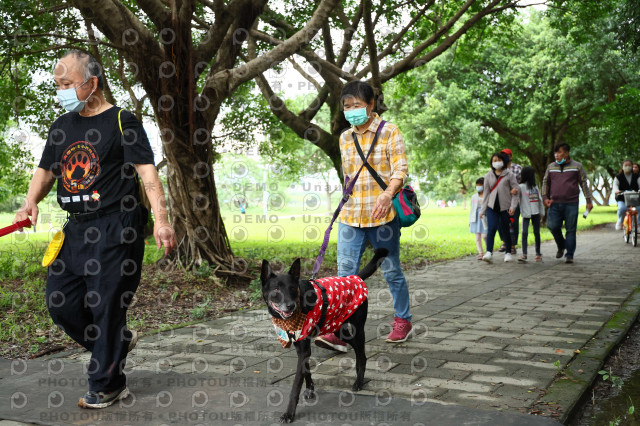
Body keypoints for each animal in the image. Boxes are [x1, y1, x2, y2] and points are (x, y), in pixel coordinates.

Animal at [262, 248, 390, 424]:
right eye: (276, 290)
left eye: (293, 288)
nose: (290, 306)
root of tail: (355, 278)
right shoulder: (302, 347)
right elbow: (306, 370)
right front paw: (310, 389)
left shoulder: (303, 349)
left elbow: (295, 386)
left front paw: (289, 414)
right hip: (338, 329)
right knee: (357, 350)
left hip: (357, 329)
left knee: (362, 355)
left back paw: (359, 382)